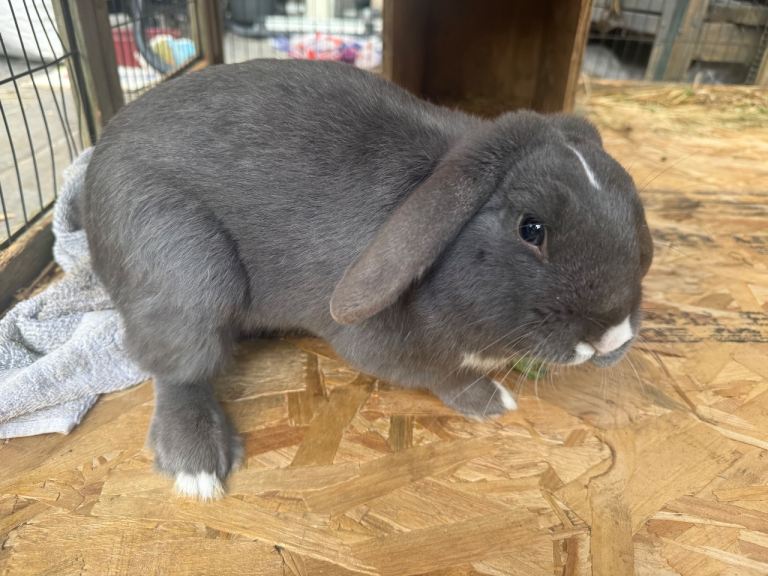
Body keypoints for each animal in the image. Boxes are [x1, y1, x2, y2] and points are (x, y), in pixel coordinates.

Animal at [82, 59, 653, 499]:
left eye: (636, 207)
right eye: (531, 228)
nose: (613, 336)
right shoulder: (386, 345)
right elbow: (441, 374)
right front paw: (491, 401)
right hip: (187, 270)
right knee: (178, 370)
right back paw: (198, 466)